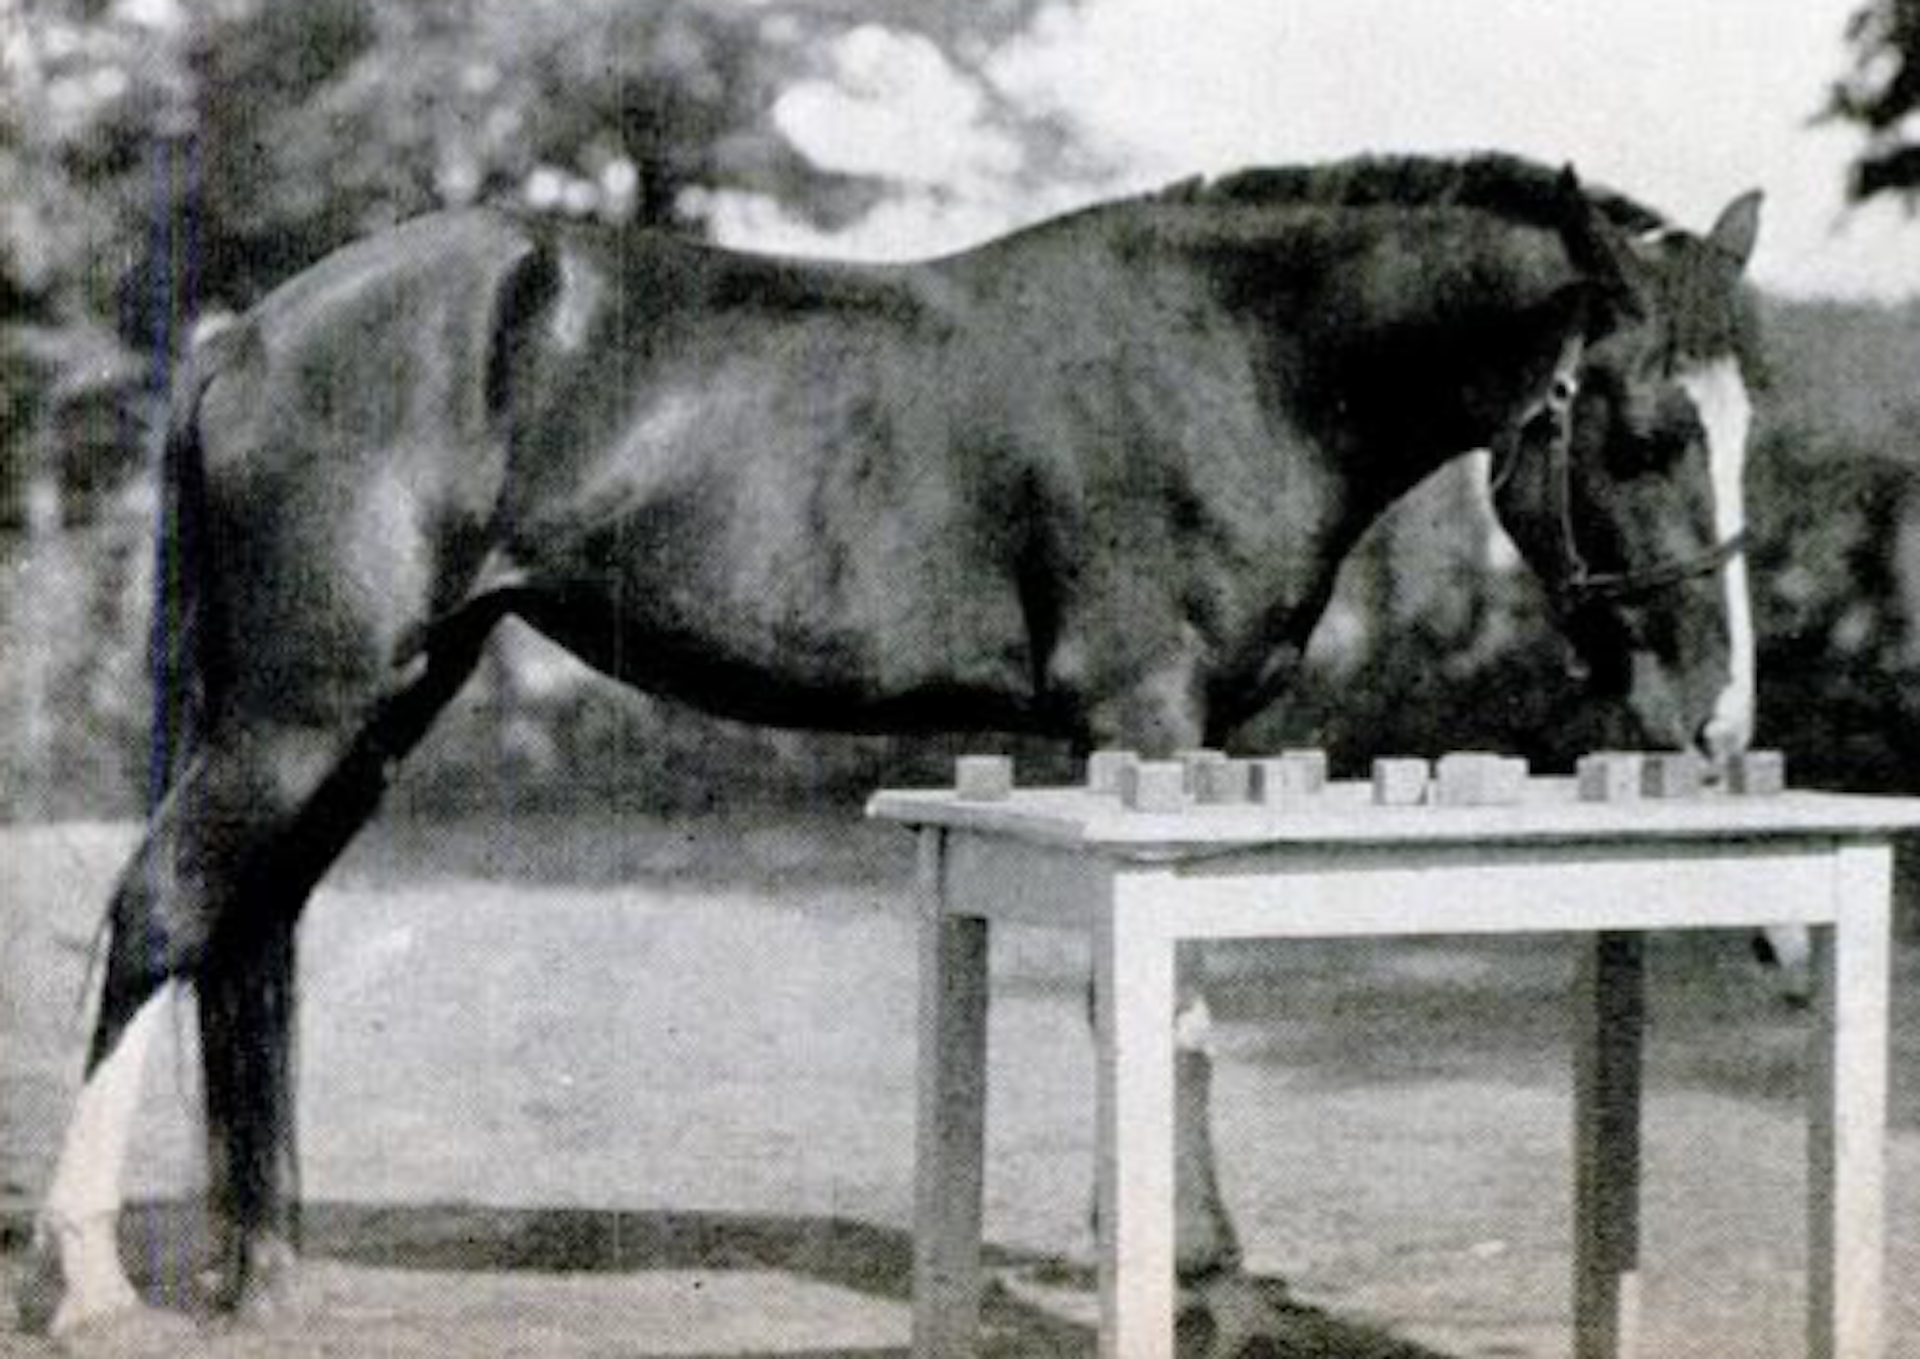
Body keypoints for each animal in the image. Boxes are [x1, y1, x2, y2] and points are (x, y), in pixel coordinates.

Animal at [24, 153, 1764, 1339]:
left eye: (1750, 420)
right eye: (1643, 430)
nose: (1714, 715)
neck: (1238, 355)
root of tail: (251, 331)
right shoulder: (1146, 724)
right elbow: (1167, 1002)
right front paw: (1195, 1268)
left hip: (375, 710)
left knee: (248, 934)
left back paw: (268, 1271)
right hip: (298, 707)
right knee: (159, 915)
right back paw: (94, 1274)